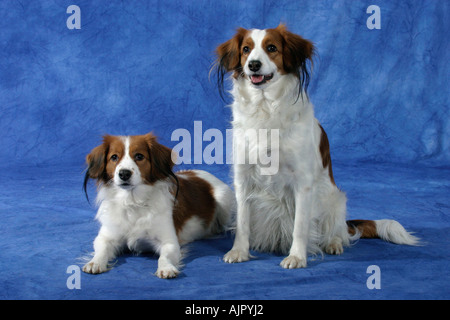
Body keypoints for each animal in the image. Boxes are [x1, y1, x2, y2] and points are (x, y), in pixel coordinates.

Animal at [83, 132, 236, 278]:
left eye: (139, 156)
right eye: (114, 157)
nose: (124, 173)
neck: (133, 201)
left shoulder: (169, 242)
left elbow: (164, 257)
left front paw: (166, 268)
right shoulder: (106, 237)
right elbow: (101, 250)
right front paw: (95, 262)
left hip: (223, 201)